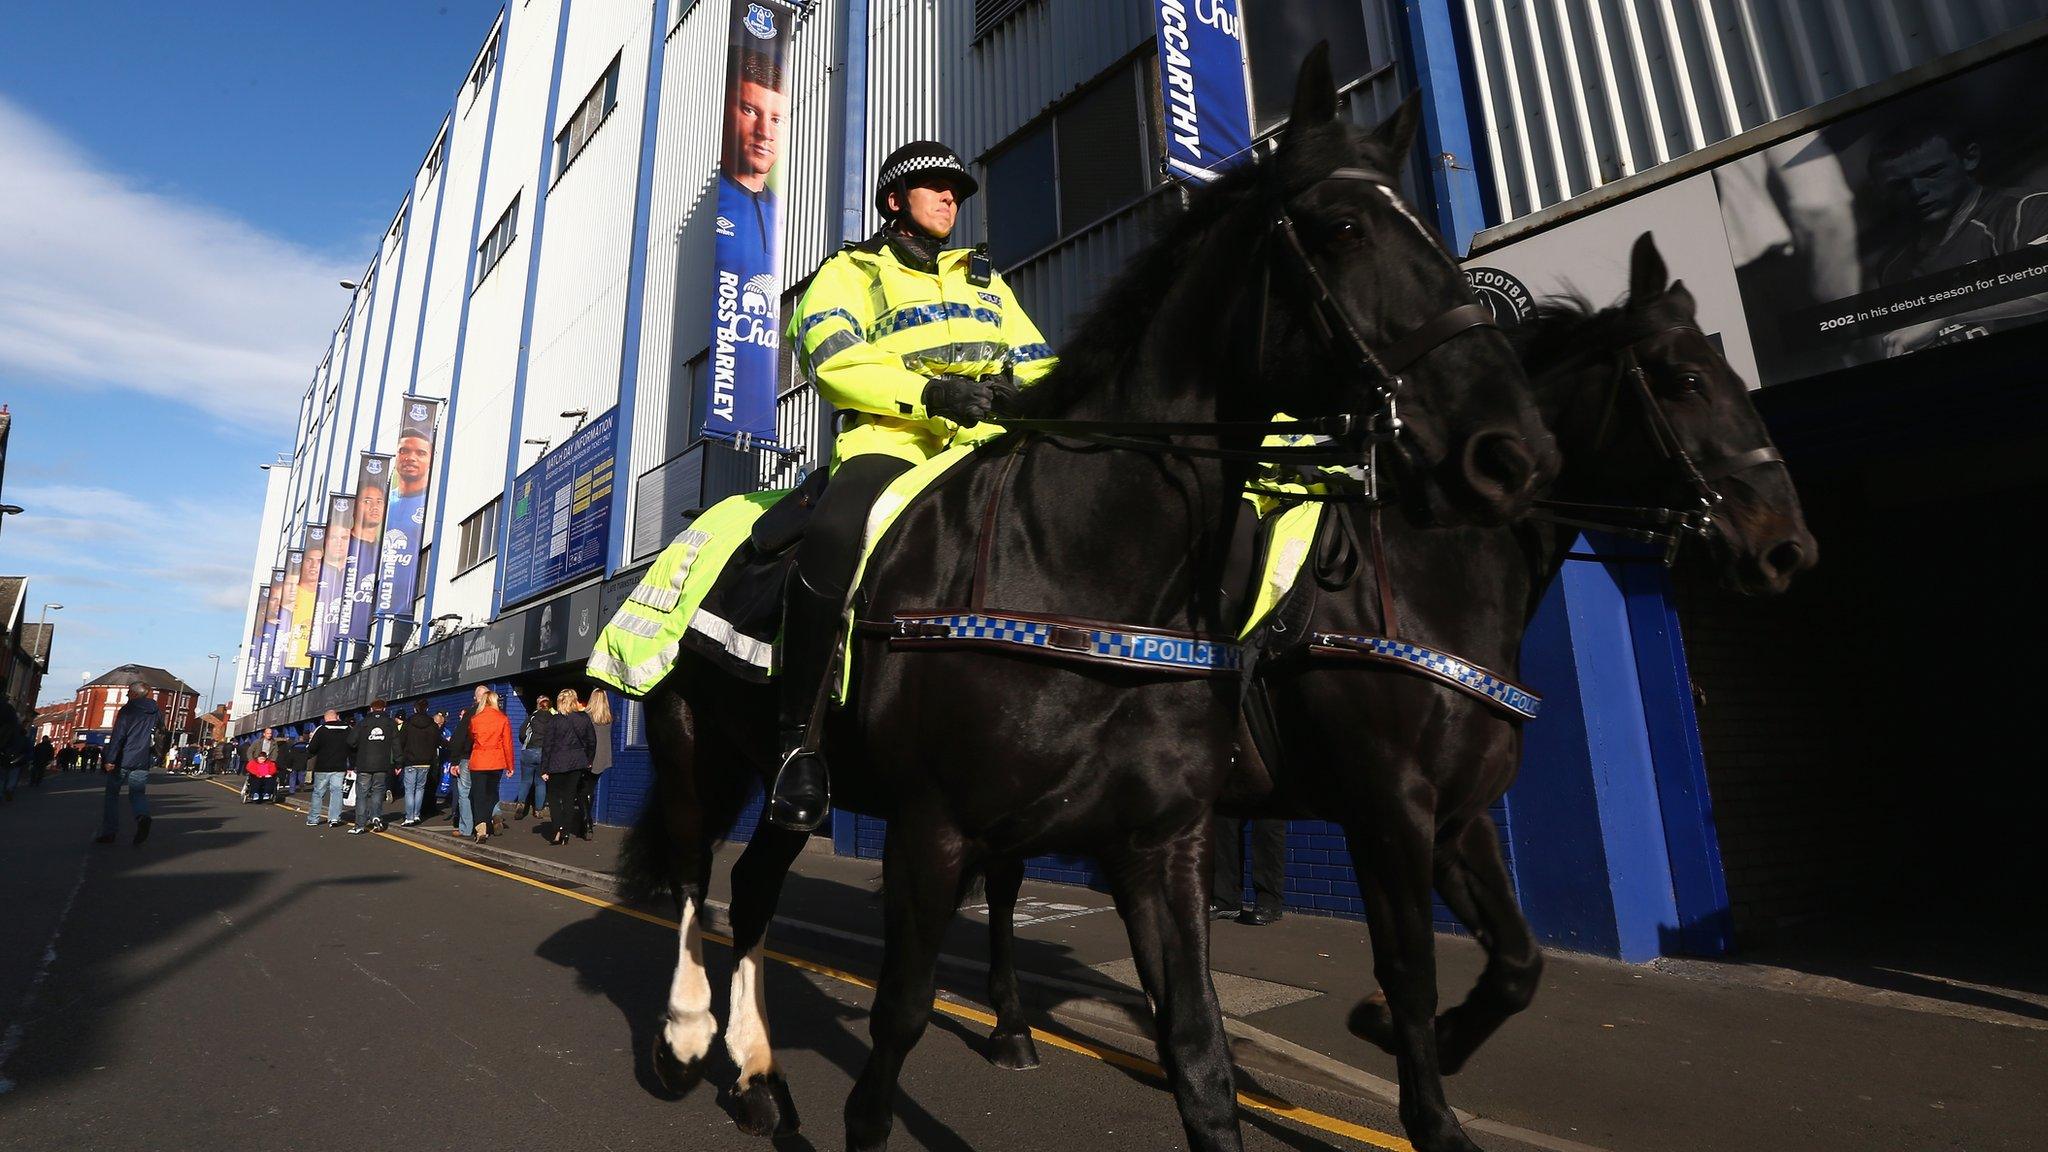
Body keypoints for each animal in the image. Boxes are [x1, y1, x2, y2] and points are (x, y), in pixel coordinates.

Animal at [618, 49, 1548, 1147]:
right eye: (1343, 229)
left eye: (1430, 234)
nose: (1507, 453)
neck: (1080, 558)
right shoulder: (934, 830)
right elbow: (898, 1023)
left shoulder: (1164, 844)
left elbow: (1200, 1057)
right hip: (697, 746)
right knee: (691, 875)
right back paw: (685, 1040)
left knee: (754, 888)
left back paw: (760, 1078)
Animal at [978, 233, 1826, 1147]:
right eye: (1686, 381)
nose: (1788, 549)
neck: (1433, 577)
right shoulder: (1388, 808)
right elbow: (1411, 964)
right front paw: (1430, 1113)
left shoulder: (1458, 814)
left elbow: (1518, 960)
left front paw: (1412, 1037)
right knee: (1002, 886)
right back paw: (1012, 1030)